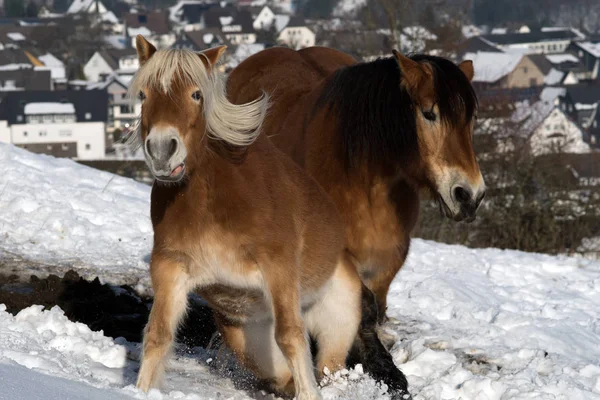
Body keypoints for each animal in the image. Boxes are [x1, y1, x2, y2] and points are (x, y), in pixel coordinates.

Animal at [129, 36, 410, 400]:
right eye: (143, 94)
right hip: (249, 341)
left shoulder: (278, 269)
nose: (163, 150)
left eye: (196, 94)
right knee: (283, 375)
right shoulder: (169, 268)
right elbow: (158, 335)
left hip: (338, 322)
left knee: (326, 368)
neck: (214, 202)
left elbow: (290, 336)